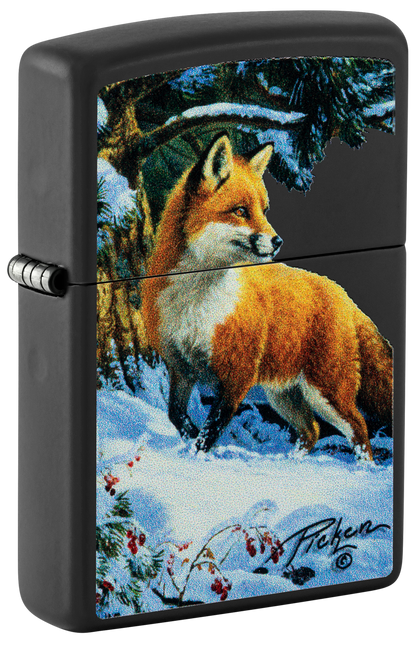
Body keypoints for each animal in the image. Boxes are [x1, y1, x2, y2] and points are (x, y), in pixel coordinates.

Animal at [140, 131, 393, 460]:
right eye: (240, 211)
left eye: (264, 210)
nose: (277, 241)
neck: (195, 302)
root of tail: (341, 292)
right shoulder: (180, 369)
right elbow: (176, 416)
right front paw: (188, 446)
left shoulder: (237, 376)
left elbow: (210, 431)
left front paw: (197, 458)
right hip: (283, 395)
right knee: (312, 430)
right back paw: (293, 463)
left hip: (326, 391)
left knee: (359, 428)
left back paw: (365, 467)